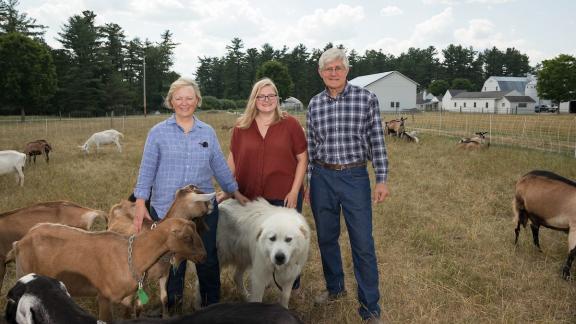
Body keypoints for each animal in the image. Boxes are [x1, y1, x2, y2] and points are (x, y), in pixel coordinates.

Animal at [6, 216, 206, 320]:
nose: (204, 256)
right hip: (23, 272)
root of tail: (20, 242)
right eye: (187, 237)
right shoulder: (104, 297)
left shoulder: (126, 298)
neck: (133, 254)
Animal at [107, 184, 215, 318]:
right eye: (201, 197)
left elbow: (164, 299)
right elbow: (139, 306)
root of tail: (121, 203)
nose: (212, 205)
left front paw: (166, 316)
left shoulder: (165, 274)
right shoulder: (142, 281)